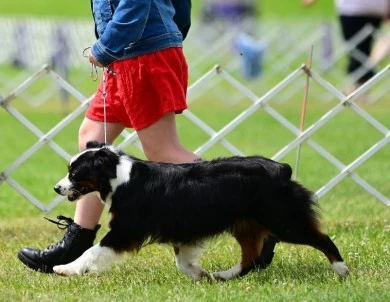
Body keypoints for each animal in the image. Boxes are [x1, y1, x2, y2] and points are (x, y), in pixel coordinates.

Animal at [51, 140, 348, 280]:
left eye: (75, 173)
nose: (56, 188)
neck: (117, 176)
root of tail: (282, 169)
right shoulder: (183, 227)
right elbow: (182, 261)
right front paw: (199, 274)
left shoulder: (126, 228)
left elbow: (93, 251)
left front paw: (66, 268)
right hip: (246, 224)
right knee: (250, 257)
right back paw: (224, 275)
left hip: (283, 219)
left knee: (322, 239)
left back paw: (342, 270)